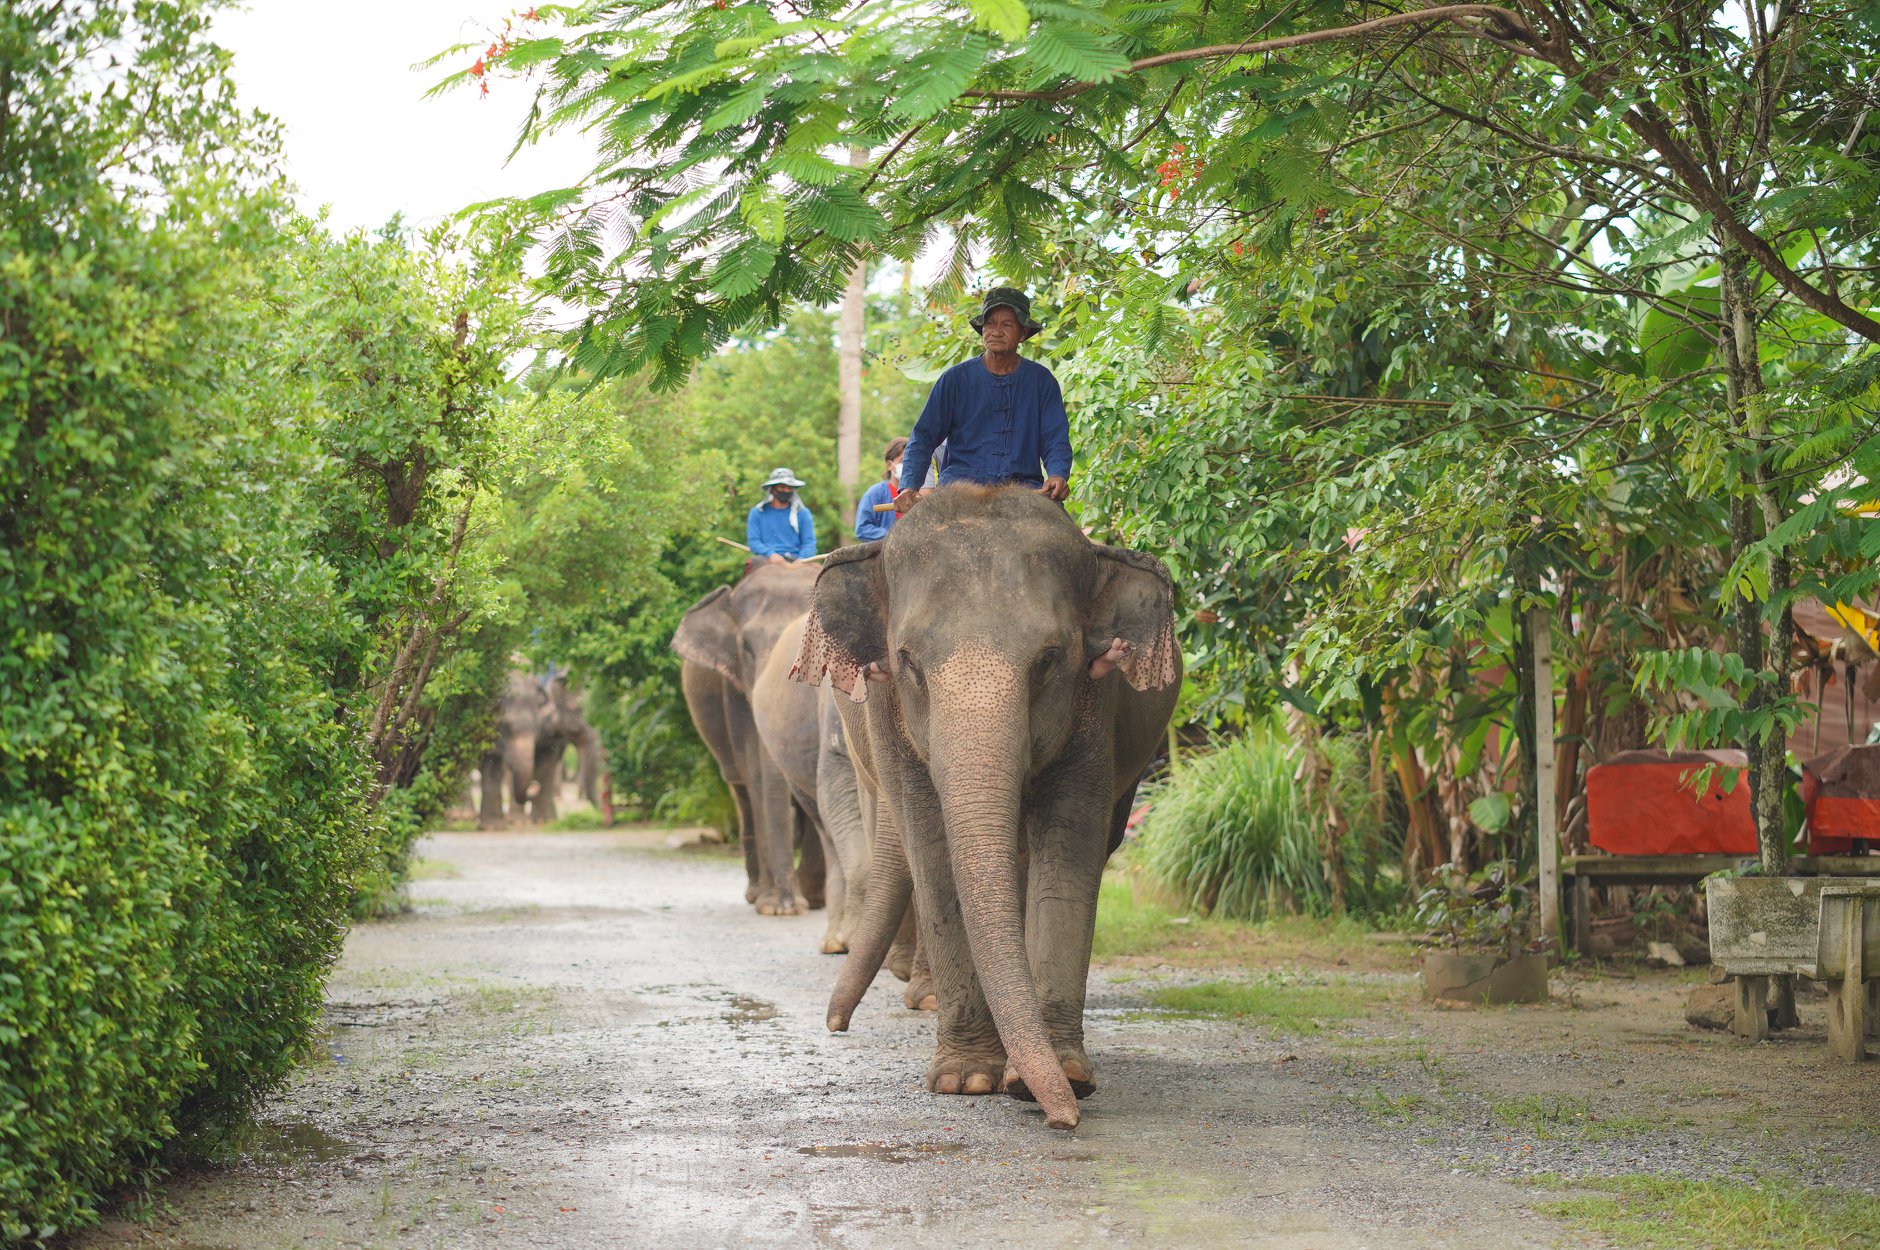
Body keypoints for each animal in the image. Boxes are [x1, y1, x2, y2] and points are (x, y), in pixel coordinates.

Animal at [673, 563, 827, 917]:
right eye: (745, 647)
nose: (790, 904)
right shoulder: (735, 689)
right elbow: (757, 774)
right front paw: (777, 907)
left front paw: (810, 902)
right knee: (742, 788)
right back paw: (757, 894)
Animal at [789, 488, 1173, 1127]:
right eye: (908, 660)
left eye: (1048, 659)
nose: (834, 1025)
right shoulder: (890, 716)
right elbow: (933, 852)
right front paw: (966, 1080)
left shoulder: (1097, 705)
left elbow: (1069, 849)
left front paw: (1061, 1078)